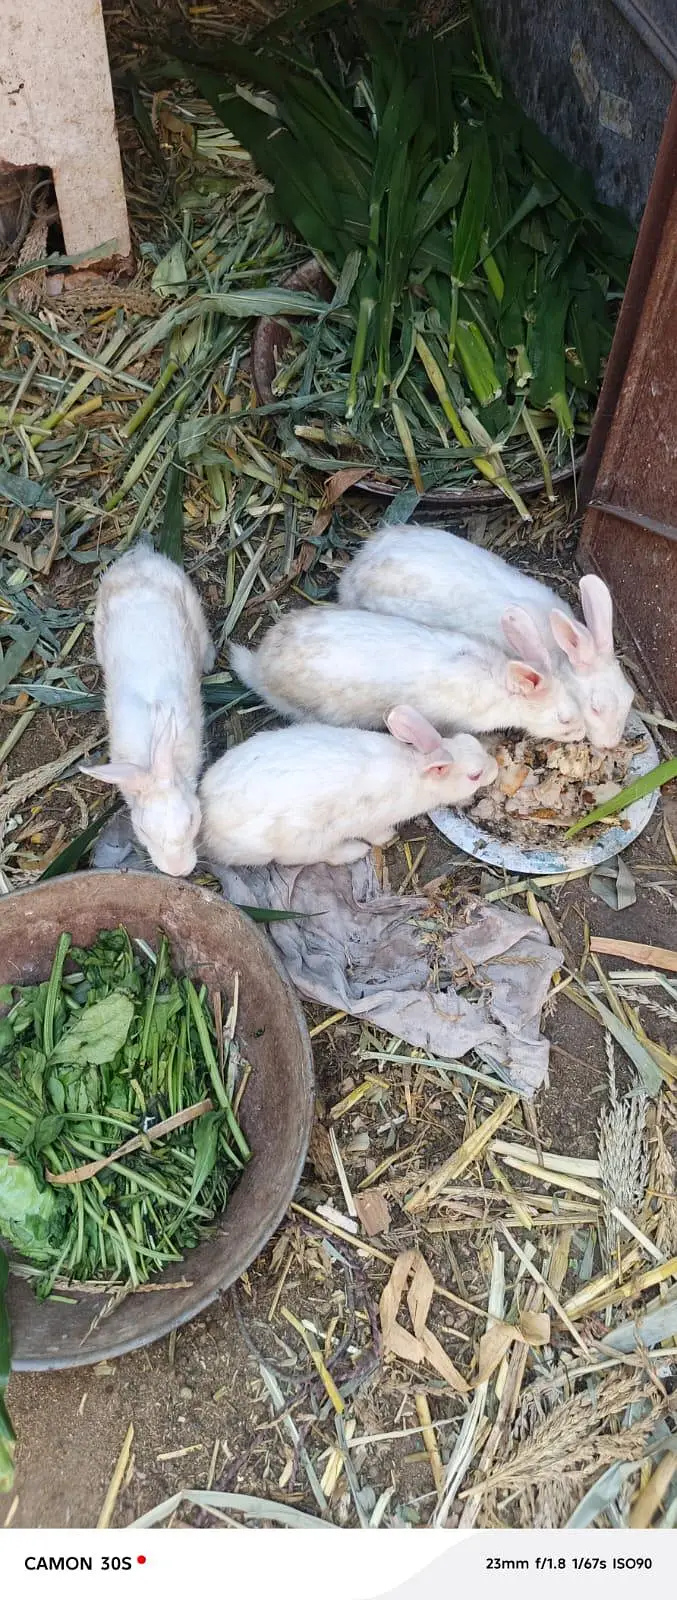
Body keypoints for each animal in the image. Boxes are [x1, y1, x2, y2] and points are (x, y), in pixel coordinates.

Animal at [199, 706, 498, 867]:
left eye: (469, 740)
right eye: (474, 775)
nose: (495, 769)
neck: (415, 768)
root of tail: (208, 820)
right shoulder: (373, 821)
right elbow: (377, 833)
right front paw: (388, 838)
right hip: (306, 841)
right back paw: (355, 851)